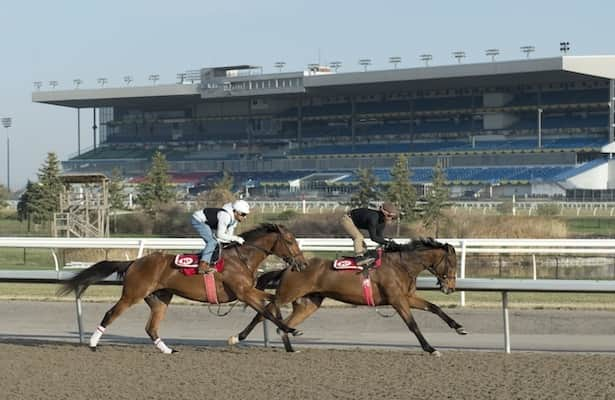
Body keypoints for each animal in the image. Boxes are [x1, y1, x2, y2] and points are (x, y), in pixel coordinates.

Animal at [57, 225, 308, 354]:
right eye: (290, 241)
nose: (303, 264)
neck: (241, 259)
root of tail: (134, 262)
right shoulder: (243, 292)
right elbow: (266, 310)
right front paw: (290, 330)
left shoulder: (249, 292)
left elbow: (271, 304)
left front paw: (287, 337)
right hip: (132, 294)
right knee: (111, 314)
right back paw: (92, 343)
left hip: (160, 299)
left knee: (151, 327)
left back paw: (167, 350)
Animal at [230, 238, 466, 356]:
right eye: (451, 263)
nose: (451, 288)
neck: (402, 265)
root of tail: (290, 267)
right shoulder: (397, 300)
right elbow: (413, 324)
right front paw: (430, 348)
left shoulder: (407, 297)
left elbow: (435, 308)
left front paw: (459, 328)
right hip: (286, 294)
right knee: (264, 313)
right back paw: (237, 337)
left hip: (309, 303)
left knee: (283, 323)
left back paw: (290, 347)